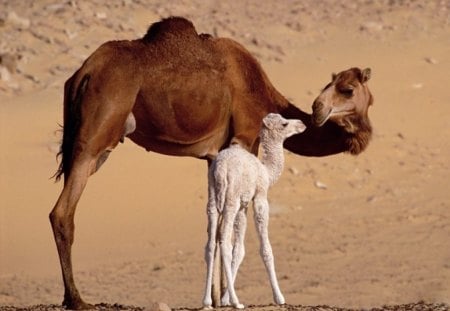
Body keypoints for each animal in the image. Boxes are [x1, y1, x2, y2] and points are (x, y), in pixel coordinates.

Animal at [203, 114, 306, 310]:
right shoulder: (259, 197)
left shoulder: (243, 206)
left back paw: (206, 301)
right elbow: (265, 248)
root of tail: (221, 168)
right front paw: (279, 297)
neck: (266, 171)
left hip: (213, 198)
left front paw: (225, 299)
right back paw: (237, 302)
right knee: (224, 242)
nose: (302, 124)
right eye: (284, 123)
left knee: (211, 244)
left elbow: (239, 250)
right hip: (231, 199)